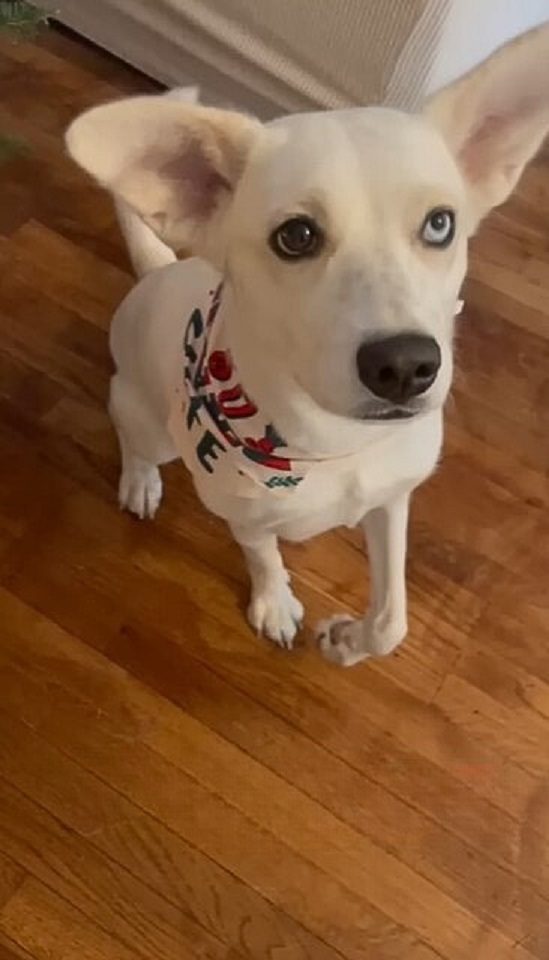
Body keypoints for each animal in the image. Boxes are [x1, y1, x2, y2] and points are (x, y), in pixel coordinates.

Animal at [66, 26, 548, 664]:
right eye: (295, 236)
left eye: (440, 224)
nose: (405, 366)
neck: (338, 444)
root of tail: (159, 271)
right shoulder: (245, 519)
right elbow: (263, 556)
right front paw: (274, 604)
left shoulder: (394, 501)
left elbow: (392, 620)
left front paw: (348, 642)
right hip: (150, 421)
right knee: (130, 434)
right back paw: (140, 479)